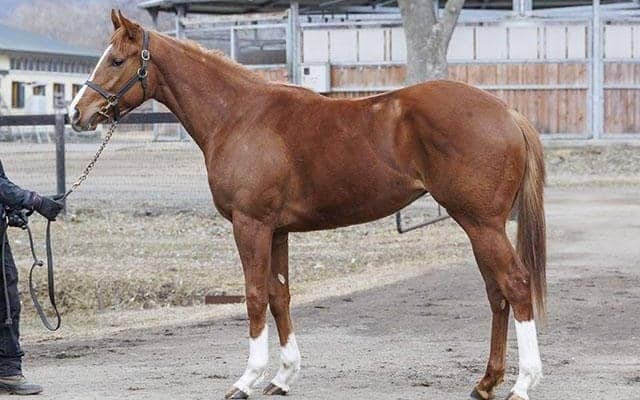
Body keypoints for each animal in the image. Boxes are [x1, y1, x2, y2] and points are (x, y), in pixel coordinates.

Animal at [70, 11, 546, 400]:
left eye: (116, 61)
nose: (77, 114)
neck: (239, 116)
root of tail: (507, 113)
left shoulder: (251, 225)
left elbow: (254, 296)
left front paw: (247, 380)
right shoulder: (277, 230)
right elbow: (280, 295)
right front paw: (282, 377)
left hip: (481, 223)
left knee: (516, 284)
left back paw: (522, 385)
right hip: (479, 226)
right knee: (497, 294)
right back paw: (486, 382)